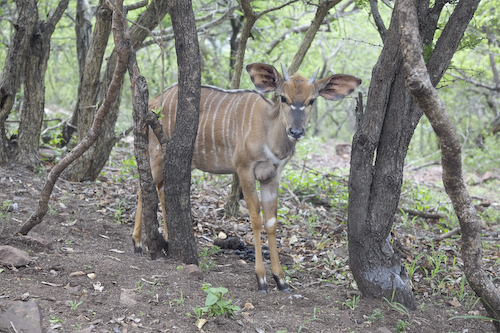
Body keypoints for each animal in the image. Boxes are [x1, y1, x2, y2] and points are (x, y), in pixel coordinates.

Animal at [133, 63, 360, 292]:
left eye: (311, 100)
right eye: (283, 97)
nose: (296, 131)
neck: (269, 132)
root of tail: (154, 102)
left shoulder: (272, 176)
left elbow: (271, 222)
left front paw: (281, 279)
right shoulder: (244, 169)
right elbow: (256, 219)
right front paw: (261, 279)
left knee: (161, 189)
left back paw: (167, 240)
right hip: (157, 154)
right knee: (144, 186)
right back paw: (137, 244)